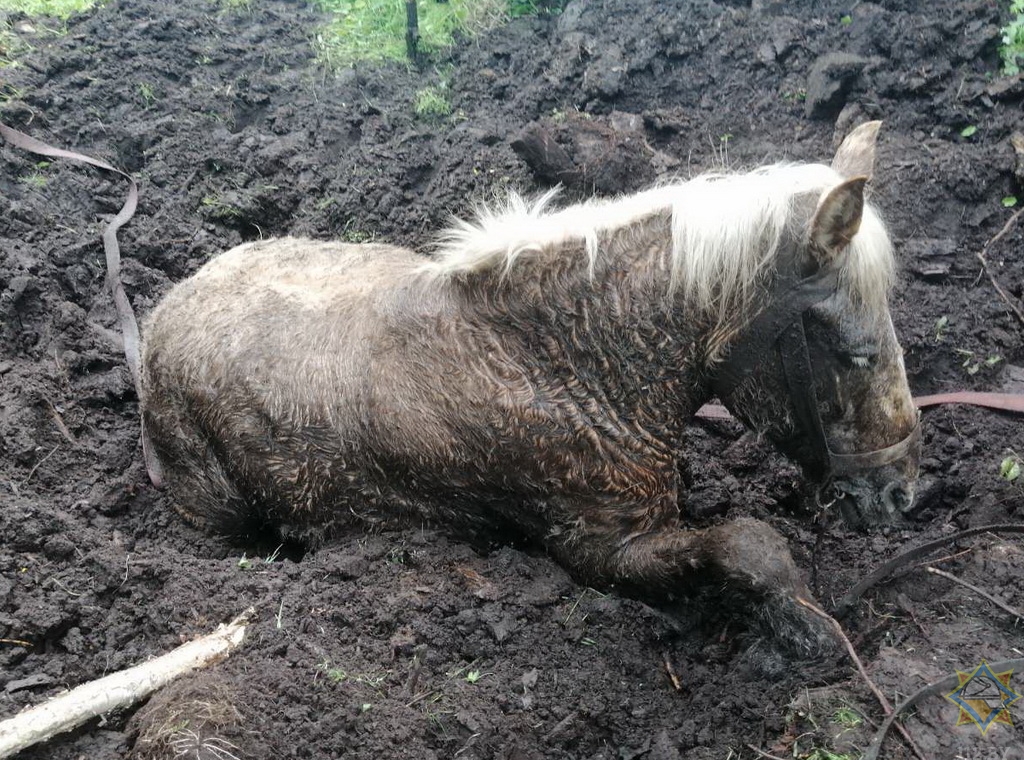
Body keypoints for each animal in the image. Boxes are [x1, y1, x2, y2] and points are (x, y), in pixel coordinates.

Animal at [142, 123, 921, 659]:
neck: (558, 362)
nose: (903, 493)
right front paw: (807, 630)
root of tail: (166, 309)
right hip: (217, 511)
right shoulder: (598, 551)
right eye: (856, 354)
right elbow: (747, 540)